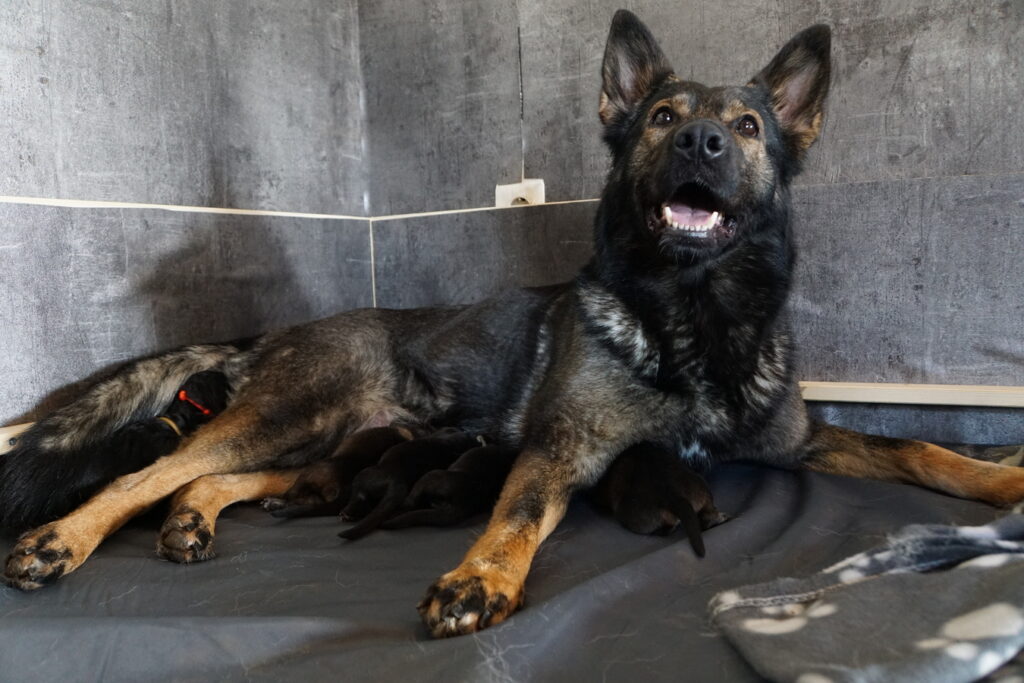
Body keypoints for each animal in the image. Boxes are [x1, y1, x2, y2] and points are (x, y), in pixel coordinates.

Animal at [592, 442, 729, 557]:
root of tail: (674, 494)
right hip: (702, 488)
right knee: (708, 513)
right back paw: (719, 518)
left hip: (630, 514)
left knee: (669, 525)